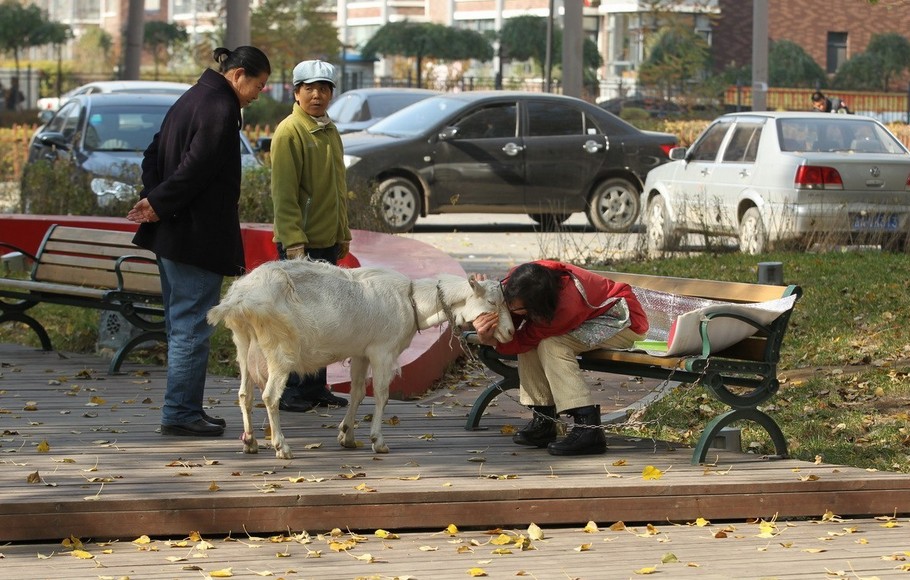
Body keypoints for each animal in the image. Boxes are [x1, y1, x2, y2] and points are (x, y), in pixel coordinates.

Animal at [209, 258, 516, 458]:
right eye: (492, 302)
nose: (511, 331)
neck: (412, 301)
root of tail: (239, 299)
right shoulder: (383, 351)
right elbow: (381, 394)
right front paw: (377, 441)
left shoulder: (361, 353)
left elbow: (358, 392)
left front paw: (347, 435)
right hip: (279, 350)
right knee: (270, 396)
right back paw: (281, 447)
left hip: (243, 343)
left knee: (244, 394)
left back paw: (250, 442)